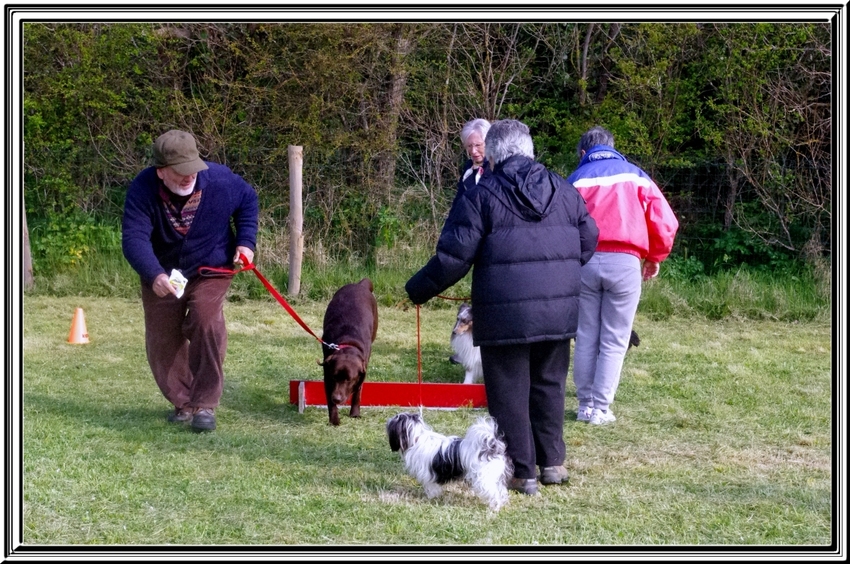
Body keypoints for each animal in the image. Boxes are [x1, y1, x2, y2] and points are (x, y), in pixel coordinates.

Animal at [318, 278, 378, 428]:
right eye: (334, 377)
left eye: (349, 380)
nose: (337, 398)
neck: (348, 343)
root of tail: (359, 284)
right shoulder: (327, 374)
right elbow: (330, 400)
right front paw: (334, 420)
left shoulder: (363, 370)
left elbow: (358, 391)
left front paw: (355, 413)